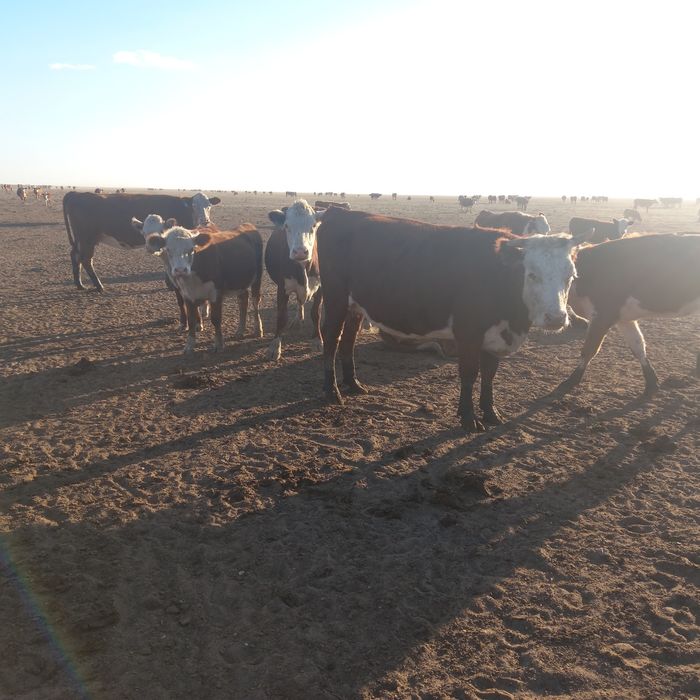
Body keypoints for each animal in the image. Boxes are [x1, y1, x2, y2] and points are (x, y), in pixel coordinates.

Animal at [63, 191, 220, 291]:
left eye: (209, 206)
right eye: (194, 205)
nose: (205, 221)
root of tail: (76, 194)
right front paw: (170, 284)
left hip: (81, 240)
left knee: (75, 256)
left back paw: (79, 284)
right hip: (87, 239)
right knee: (86, 259)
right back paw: (99, 286)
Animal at [146, 223, 263, 354]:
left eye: (191, 249)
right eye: (168, 250)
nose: (180, 270)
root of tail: (247, 225)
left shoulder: (216, 294)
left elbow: (216, 319)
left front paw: (218, 344)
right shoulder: (187, 296)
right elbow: (191, 320)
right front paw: (189, 345)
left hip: (257, 277)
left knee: (255, 301)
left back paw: (258, 329)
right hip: (240, 282)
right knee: (243, 300)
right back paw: (240, 330)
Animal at [265, 200, 325, 360]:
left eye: (313, 225)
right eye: (287, 226)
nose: (300, 252)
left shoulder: (320, 288)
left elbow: (316, 314)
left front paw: (317, 339)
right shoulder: (282, 288)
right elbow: (281, 316)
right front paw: (275, 346)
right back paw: (298, 319)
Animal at [316, 207, 581, 431]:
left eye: (570, 276)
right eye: (532, 274)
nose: (556, 318)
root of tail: (338, 212)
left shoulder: (494, 337)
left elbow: (489, 375)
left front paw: (491, 413)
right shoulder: (468, 333)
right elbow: (470, 374)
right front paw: (468, 417)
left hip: (355, 308)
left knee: (348, 341)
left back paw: (353, 384)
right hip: (336, 300)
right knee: (331, 340)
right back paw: (332, 391)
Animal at [557, 233, 700, 397]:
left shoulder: (603, 315)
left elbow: (589, 350)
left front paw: (571, 380)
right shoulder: (623, 319)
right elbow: (638, 346)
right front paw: (651, 381)